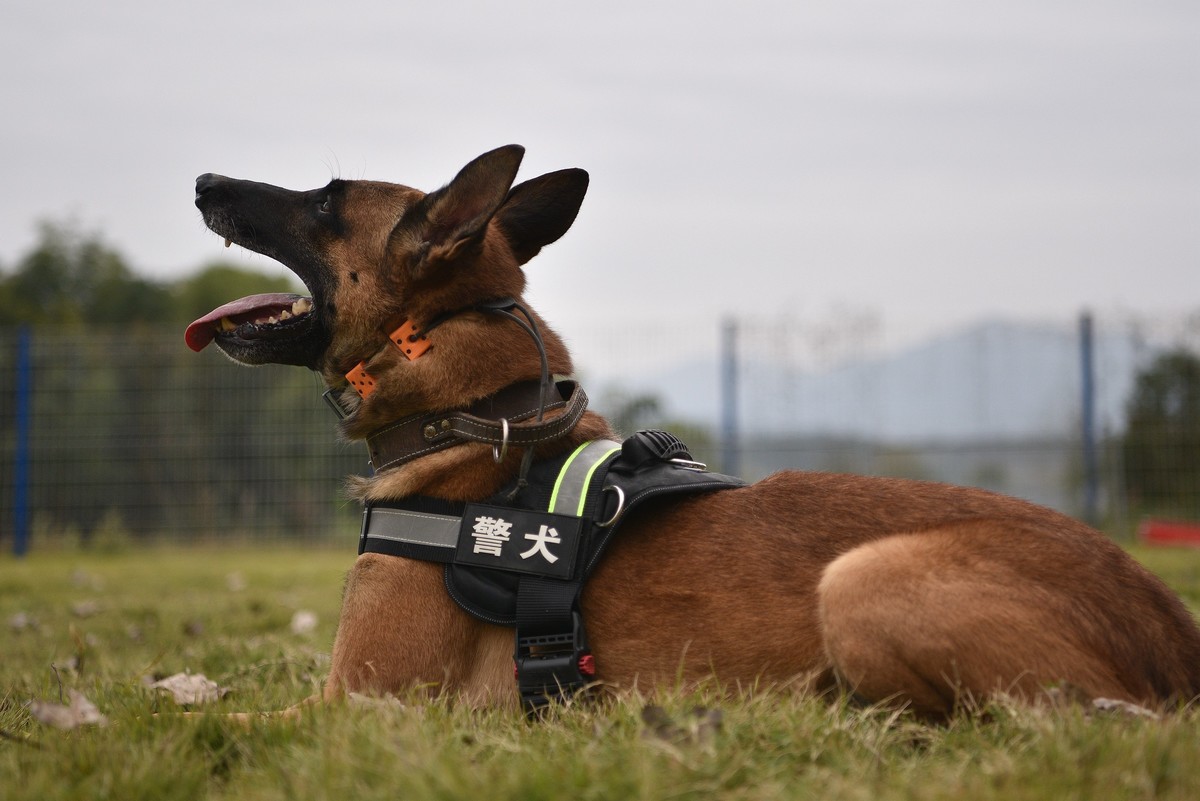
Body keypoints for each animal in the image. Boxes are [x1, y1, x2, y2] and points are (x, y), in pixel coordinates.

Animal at [187, 145, 1200, 719]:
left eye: (325, 201)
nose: (202, 181)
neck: (480, 416)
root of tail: (1168, 629)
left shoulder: (362, 705)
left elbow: (219, 721)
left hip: (863, 579)